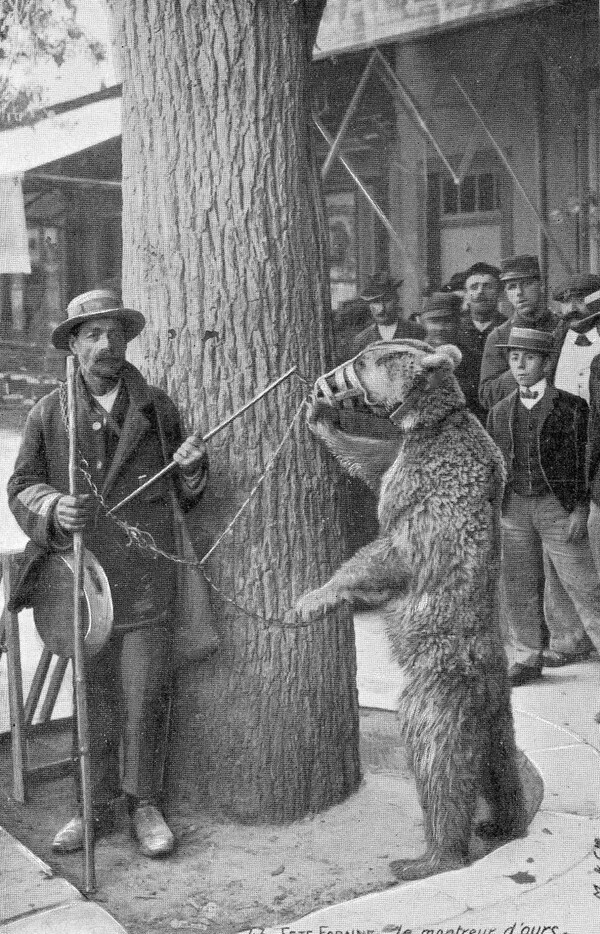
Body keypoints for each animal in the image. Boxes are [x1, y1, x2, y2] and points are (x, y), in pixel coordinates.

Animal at [298, 340, 528, 880]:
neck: (431, 422)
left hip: (434, 695)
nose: (324, 384)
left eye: (363, 361)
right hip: (496, 713)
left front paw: (313, 596)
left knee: (439, 766)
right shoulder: (404, 456)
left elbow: (388, 549)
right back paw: (502, 821)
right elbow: (370, 459)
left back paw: (429, 856)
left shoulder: (427, 487)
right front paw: (321, 422)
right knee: (499, 763)